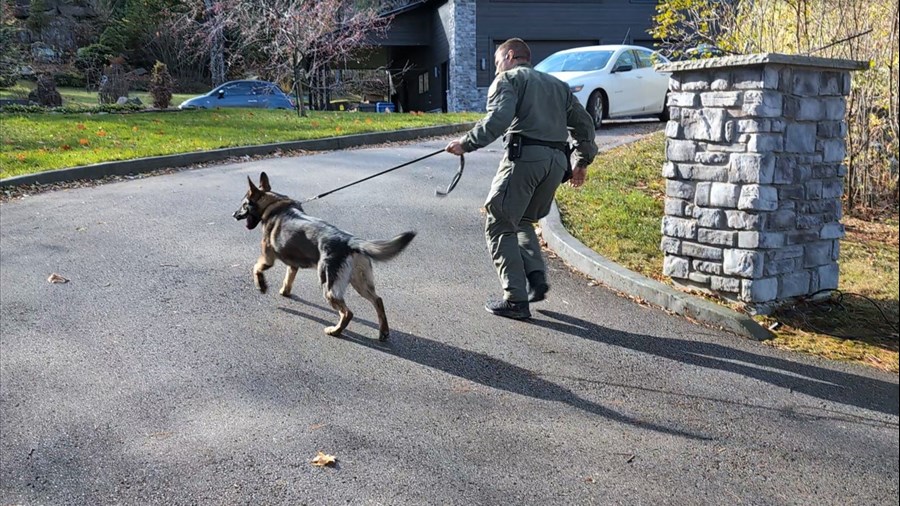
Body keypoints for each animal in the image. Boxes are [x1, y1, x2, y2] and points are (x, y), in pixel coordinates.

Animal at [232, 172, 414, 342]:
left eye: (243, 205)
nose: (233, 214)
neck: (272, 204)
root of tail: (350, 241)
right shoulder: (293, 266)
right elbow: (288, 279)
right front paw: (285, 292)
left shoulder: (267, 258)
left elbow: (256, 268)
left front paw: (261, 285)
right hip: (360, 283)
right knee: (378, 300)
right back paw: (383, 331)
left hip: (329, 286)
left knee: (348, 313)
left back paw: (335, 331)